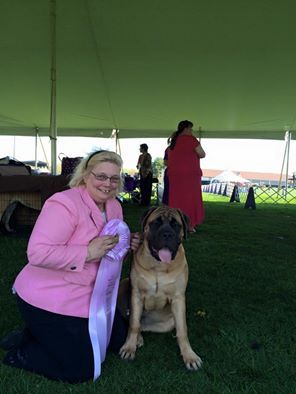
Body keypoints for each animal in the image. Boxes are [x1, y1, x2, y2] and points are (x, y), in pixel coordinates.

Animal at [119, 205, 202, 370]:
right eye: (156, 223)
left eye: (176, 224)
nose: (167, 234)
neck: (159, 266)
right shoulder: (136, 294)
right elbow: (133, 324)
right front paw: (129, 348)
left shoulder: (178, 298)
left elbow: (182, 330)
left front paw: (189, 356)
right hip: (124, 284)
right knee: (134, 321)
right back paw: (137, 339)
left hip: (168, 323)